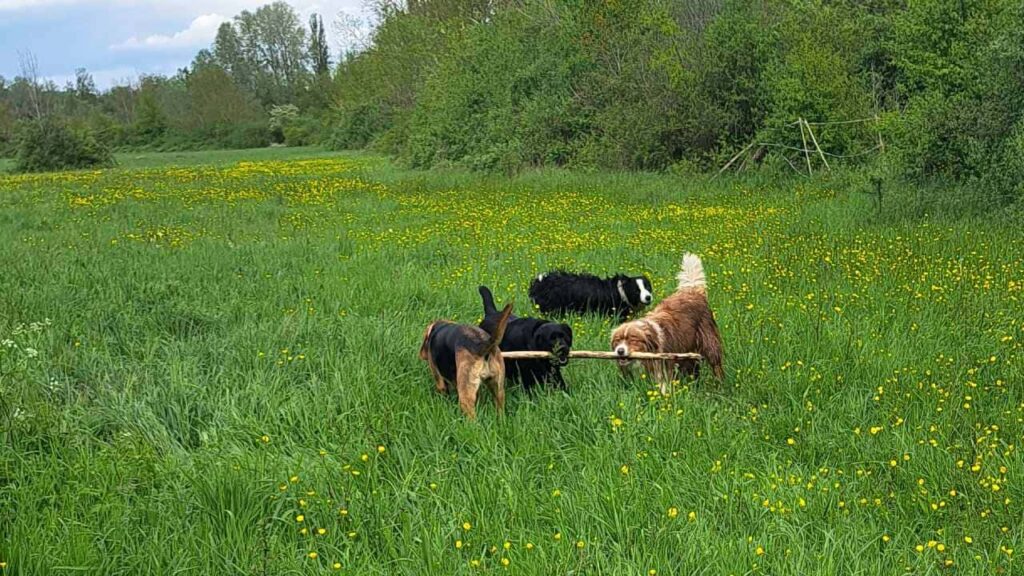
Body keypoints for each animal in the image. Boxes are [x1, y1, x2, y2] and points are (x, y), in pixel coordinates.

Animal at [610, 253, 724, 391]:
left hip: (709, 344)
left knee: (716, 365)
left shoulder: (663, 367)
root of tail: (692, 291)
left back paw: (720, 385)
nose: (620, 351)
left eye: (633, 339)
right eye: (617, 340)